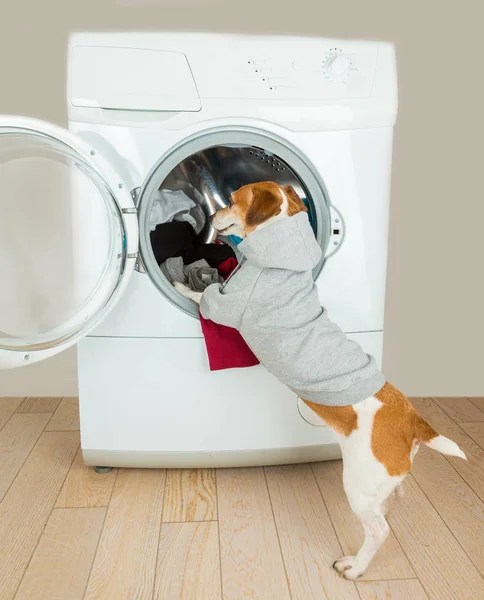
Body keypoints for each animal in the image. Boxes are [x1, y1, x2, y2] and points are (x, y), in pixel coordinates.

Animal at [173, 180, 466, 580]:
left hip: (358, 484)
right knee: (389, 504)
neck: (280, 243)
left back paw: (355, 566)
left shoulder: (226, 304)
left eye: (231, 201)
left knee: (379, 530)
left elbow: (203, 295)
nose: (212, 214)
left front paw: (182, 284)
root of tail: (412, 420)